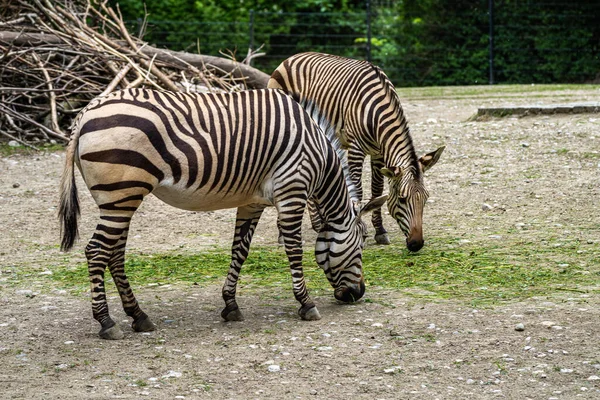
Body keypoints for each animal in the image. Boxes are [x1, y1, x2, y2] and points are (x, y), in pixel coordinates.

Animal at [58, 88, 386, 340]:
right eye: (360, 247)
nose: (358, 294)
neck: (319, 158)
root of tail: (87, 111)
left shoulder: (252, 202)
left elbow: (239, 251)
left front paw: (231, 305)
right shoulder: (292, 192)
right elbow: (294, 250)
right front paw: (306, 304)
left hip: (121, 198)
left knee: (114, 254)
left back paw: (139, 316)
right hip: (121, 194)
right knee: (96, 251)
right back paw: (107, 322)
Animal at [268, 52, 446, 252]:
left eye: (425, 198)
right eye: (402, 199)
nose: (416, 244)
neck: (377, 111)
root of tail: (292, 57)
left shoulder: (378, 153)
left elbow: (377, 189)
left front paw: (380, 231)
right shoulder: (356, 148)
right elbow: (358, 189)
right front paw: (358, 227)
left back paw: (319, 222)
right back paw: (287, 232)